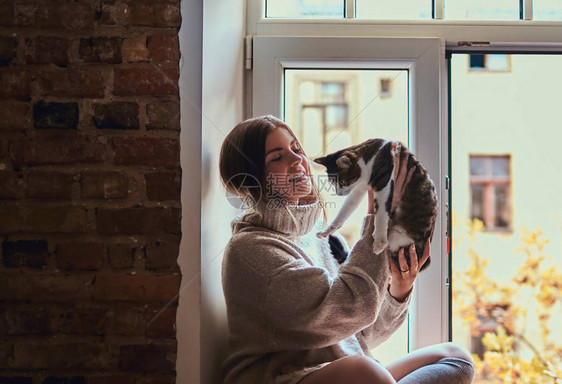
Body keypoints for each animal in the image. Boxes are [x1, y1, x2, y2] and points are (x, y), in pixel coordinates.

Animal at [312, 139, 436, 270]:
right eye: (332, 183)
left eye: (342, 182)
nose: (338, 193)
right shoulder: (359, 187)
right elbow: (346, 209)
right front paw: (328, 230)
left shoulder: (383, 180)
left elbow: (381, 212)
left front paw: (379, 242)